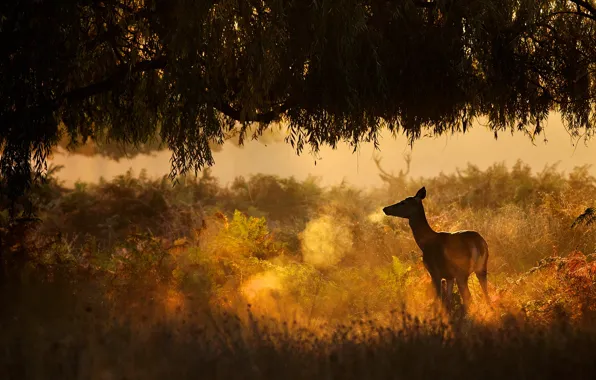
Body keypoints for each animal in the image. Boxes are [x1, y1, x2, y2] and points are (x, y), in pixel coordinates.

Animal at [384, 186, 492, 314]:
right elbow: (448, 300)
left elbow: (439, 298)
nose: (385, 208)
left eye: (403, 202)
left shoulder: (434, 271)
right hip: (482, 268)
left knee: (468, 297)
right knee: (486, 293)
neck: (424, 243)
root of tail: (476, 243)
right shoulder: (449, 276)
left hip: (461, 271)